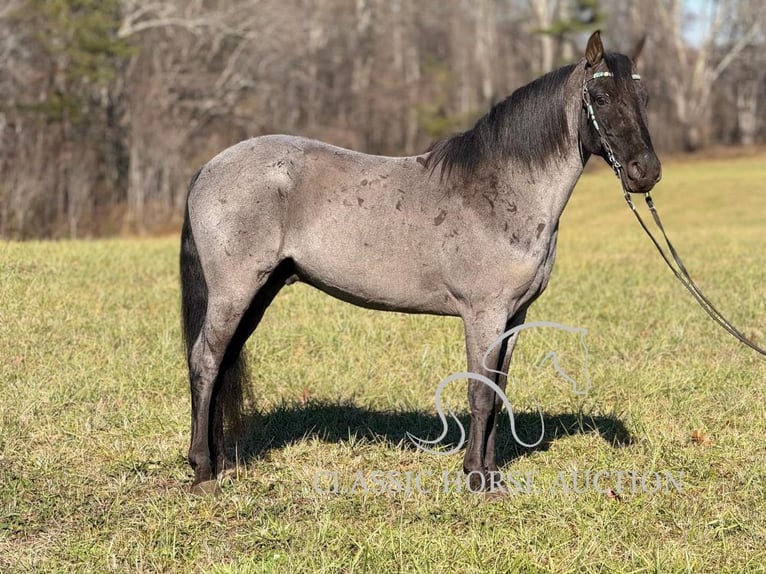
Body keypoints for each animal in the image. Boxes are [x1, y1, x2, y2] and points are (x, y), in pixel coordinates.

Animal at [178, 31, 660, 492]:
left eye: (644, 96)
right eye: (601, 98)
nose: (646, 172)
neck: (500, 189)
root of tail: (208, 169)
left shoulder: (516, 315)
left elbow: (499, 389)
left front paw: (493, 474)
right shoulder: (483, 313)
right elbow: (480, 393)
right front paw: (477, 478)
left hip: (260, 292)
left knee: (223, 363)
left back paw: (220, 461)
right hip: (234, 291)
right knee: (205, 361)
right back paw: (203, 471)